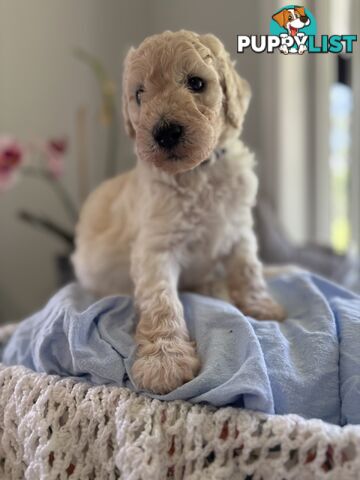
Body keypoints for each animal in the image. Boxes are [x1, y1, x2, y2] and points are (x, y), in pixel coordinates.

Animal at [73, 31, 286, 396]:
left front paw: (261, 305)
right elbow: (161, 301)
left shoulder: (239, 231)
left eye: (196, 83)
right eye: (139, 94)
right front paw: (164, 361)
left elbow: (248, 269)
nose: (165, 132)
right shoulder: (155, 249)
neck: (199, 173)